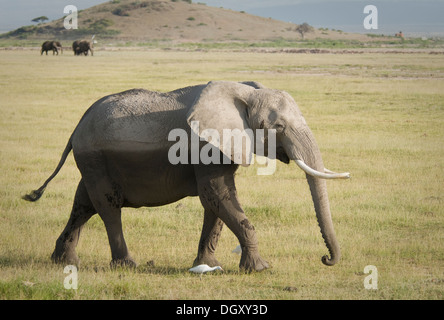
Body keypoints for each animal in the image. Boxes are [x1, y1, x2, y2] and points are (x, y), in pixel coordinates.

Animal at [23, 80, 350, 272]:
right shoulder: (206, 145)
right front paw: (259, 268)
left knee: (84, 203)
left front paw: (208, 266)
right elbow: (217, 194)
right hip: (94, 157)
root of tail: (77, 127)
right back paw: (126, 265)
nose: (326, 260)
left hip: (93, 161)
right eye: (279, 127)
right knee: (107, 205)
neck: (245, 92)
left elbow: (216, 202)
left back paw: (64, 261)